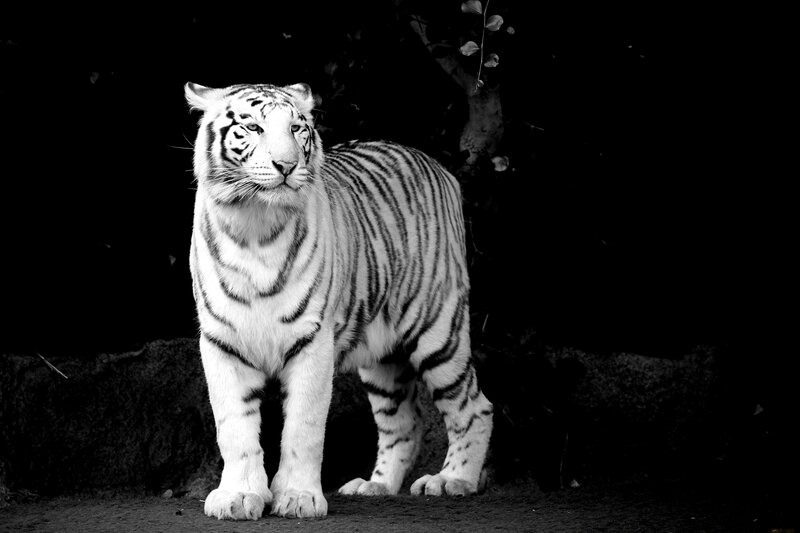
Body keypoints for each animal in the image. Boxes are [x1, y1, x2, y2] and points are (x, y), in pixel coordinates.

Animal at [185, 81, 494, 520]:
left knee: (474, 406)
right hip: (383, 357)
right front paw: (238, 496)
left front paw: (298, 497)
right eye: (253, 127)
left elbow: (304, 426)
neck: (255, 226)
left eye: (297, 128)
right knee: (404, 423)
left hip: (438, 330)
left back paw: (452, 480)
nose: (286, 165)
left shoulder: (312, 340)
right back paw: (375, 485)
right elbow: (234, 427)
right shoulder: (222, 342)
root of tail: (437, 165)